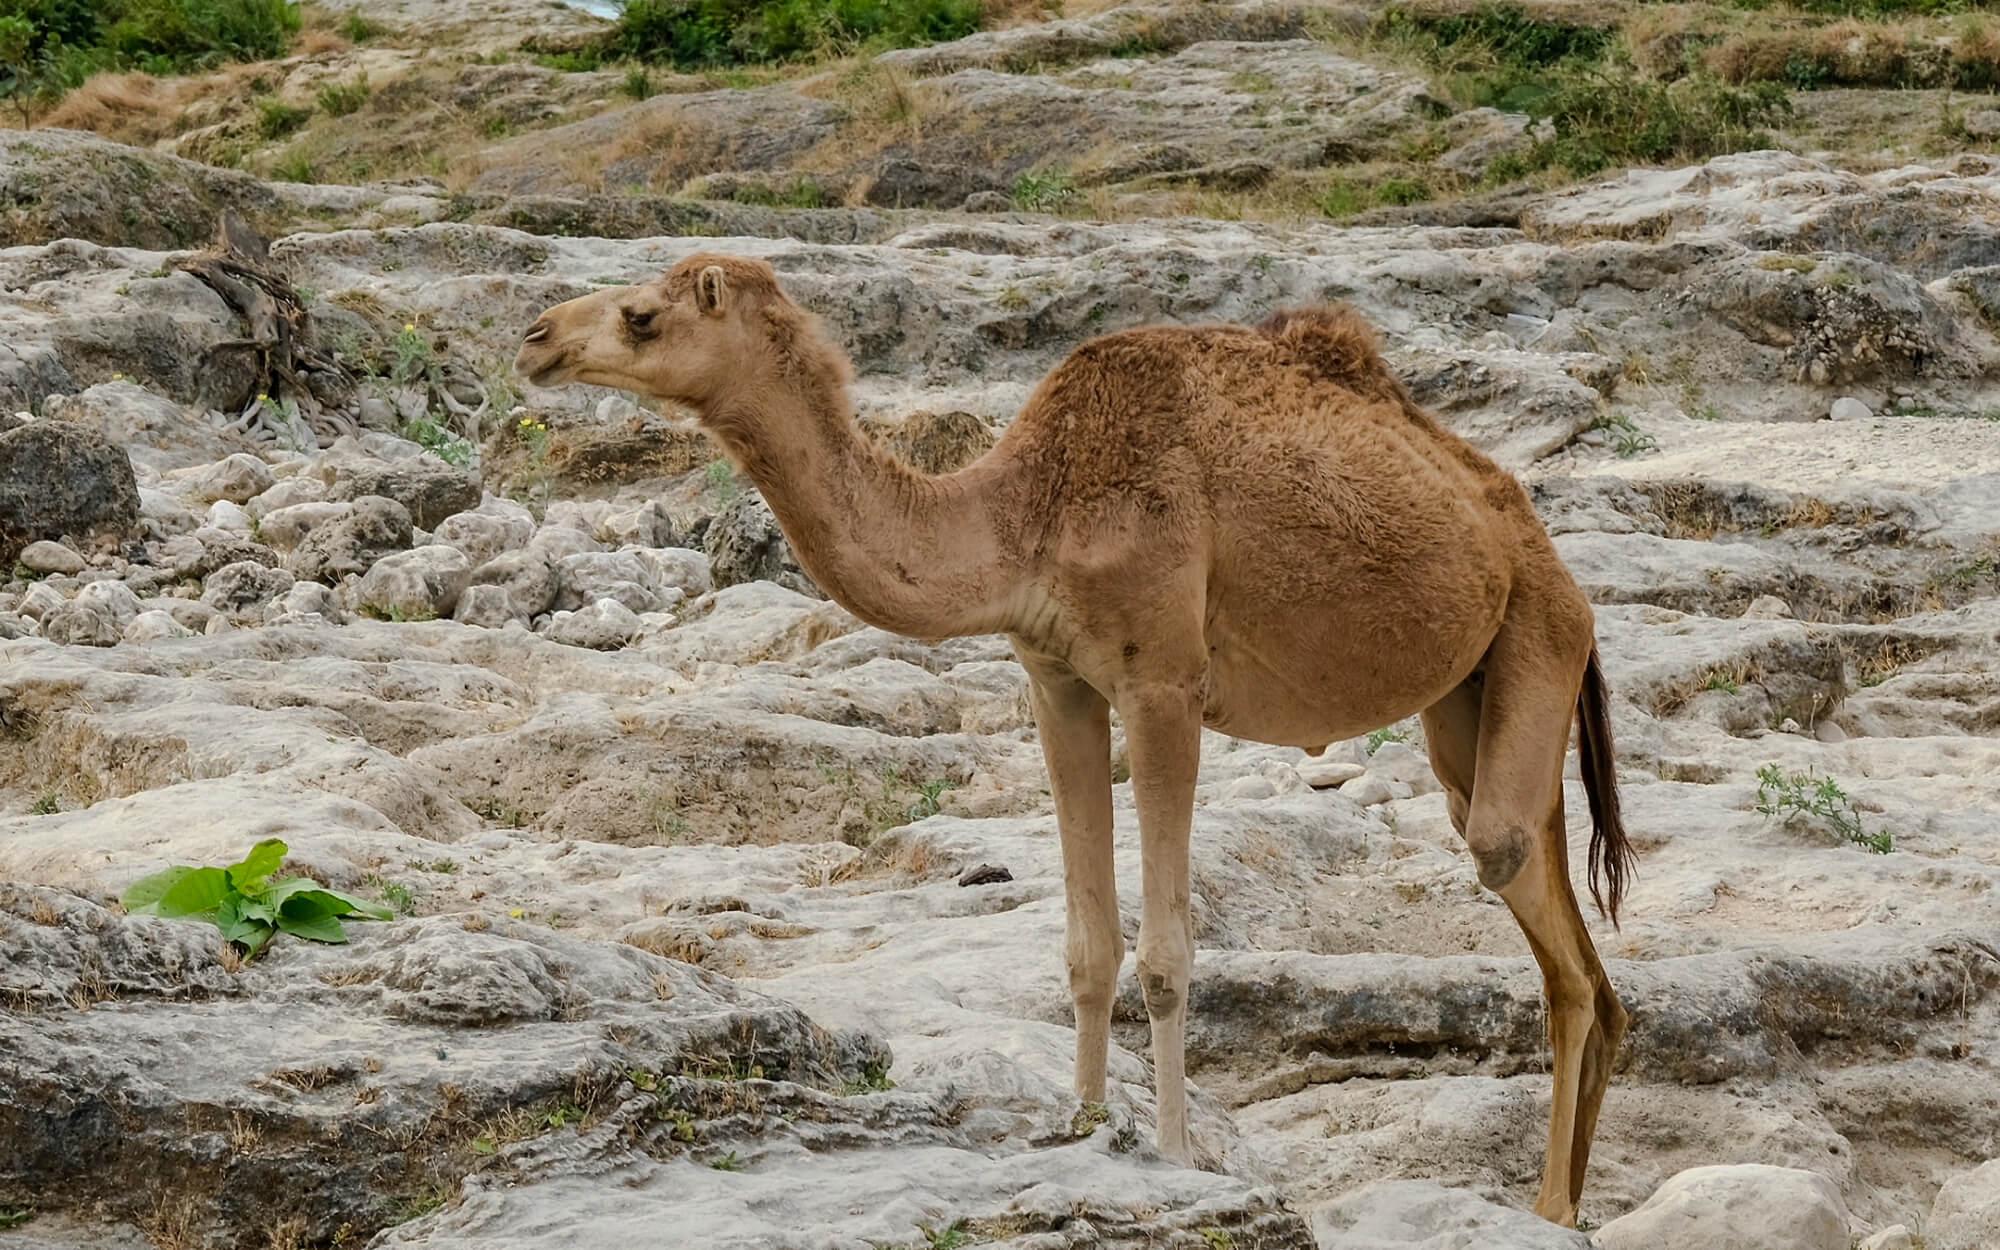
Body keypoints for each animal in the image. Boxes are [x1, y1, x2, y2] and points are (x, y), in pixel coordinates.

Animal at [516, 249, 1640, 1224]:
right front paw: (1087, 1126)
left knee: (1511, 865)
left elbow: (1166, 950)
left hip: (1540, 629)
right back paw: (1571, 1190)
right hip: (1472, 691)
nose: (533, 337)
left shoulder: (1162, 683)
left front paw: (1176, 1155)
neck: (1027, 511)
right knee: (1559, 921)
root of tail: (1530, 538)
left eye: (641, 316)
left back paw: (1550, 1205)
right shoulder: (1055, 678)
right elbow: (1086, 946)